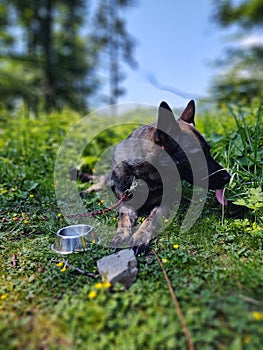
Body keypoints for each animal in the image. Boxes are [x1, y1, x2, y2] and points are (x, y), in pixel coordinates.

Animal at [107, 100, 231, 252]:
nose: (227, 177)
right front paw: (120, 235)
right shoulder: (126, 201)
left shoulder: (165, 204)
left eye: (208, 151)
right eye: (197, 155)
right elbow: (123, 218)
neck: (145, 176)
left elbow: (151, 219)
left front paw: (140, 237)